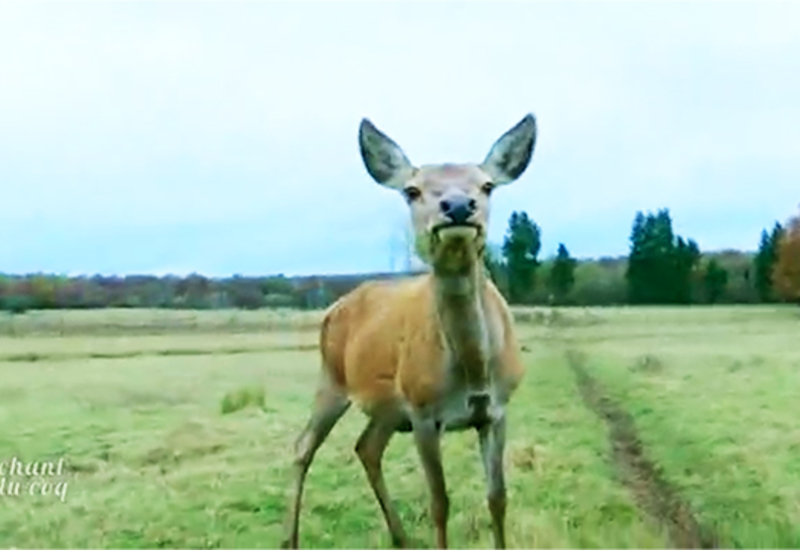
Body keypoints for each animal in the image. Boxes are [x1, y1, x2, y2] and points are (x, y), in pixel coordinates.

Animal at [282, 113, 536, 550]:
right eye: (411, 190)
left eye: (486, 185)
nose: (457, 206)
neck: (473, 369)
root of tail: (333, 310)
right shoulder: (422, 412)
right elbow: (439, 502)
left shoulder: (498, 409)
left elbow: (498, 497)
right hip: (332, 377)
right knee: (304, 447)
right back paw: (290, 540)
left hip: (385, 406)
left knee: (366, 447)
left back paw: (400, 537)